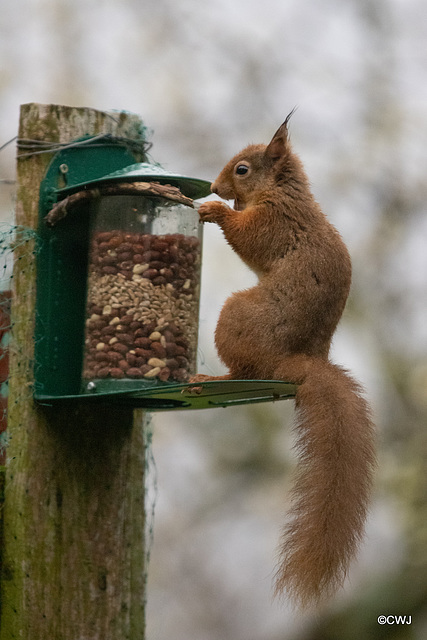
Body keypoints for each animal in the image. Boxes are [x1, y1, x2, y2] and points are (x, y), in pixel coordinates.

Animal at [189, 116, 376, 608]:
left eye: (242, 169)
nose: (214, 187)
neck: (282, 192)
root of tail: (297, 363)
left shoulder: (275, 222)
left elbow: (248, 237)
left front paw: (215, 211)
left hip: (236, 319)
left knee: (245, 372)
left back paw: (210, 375)